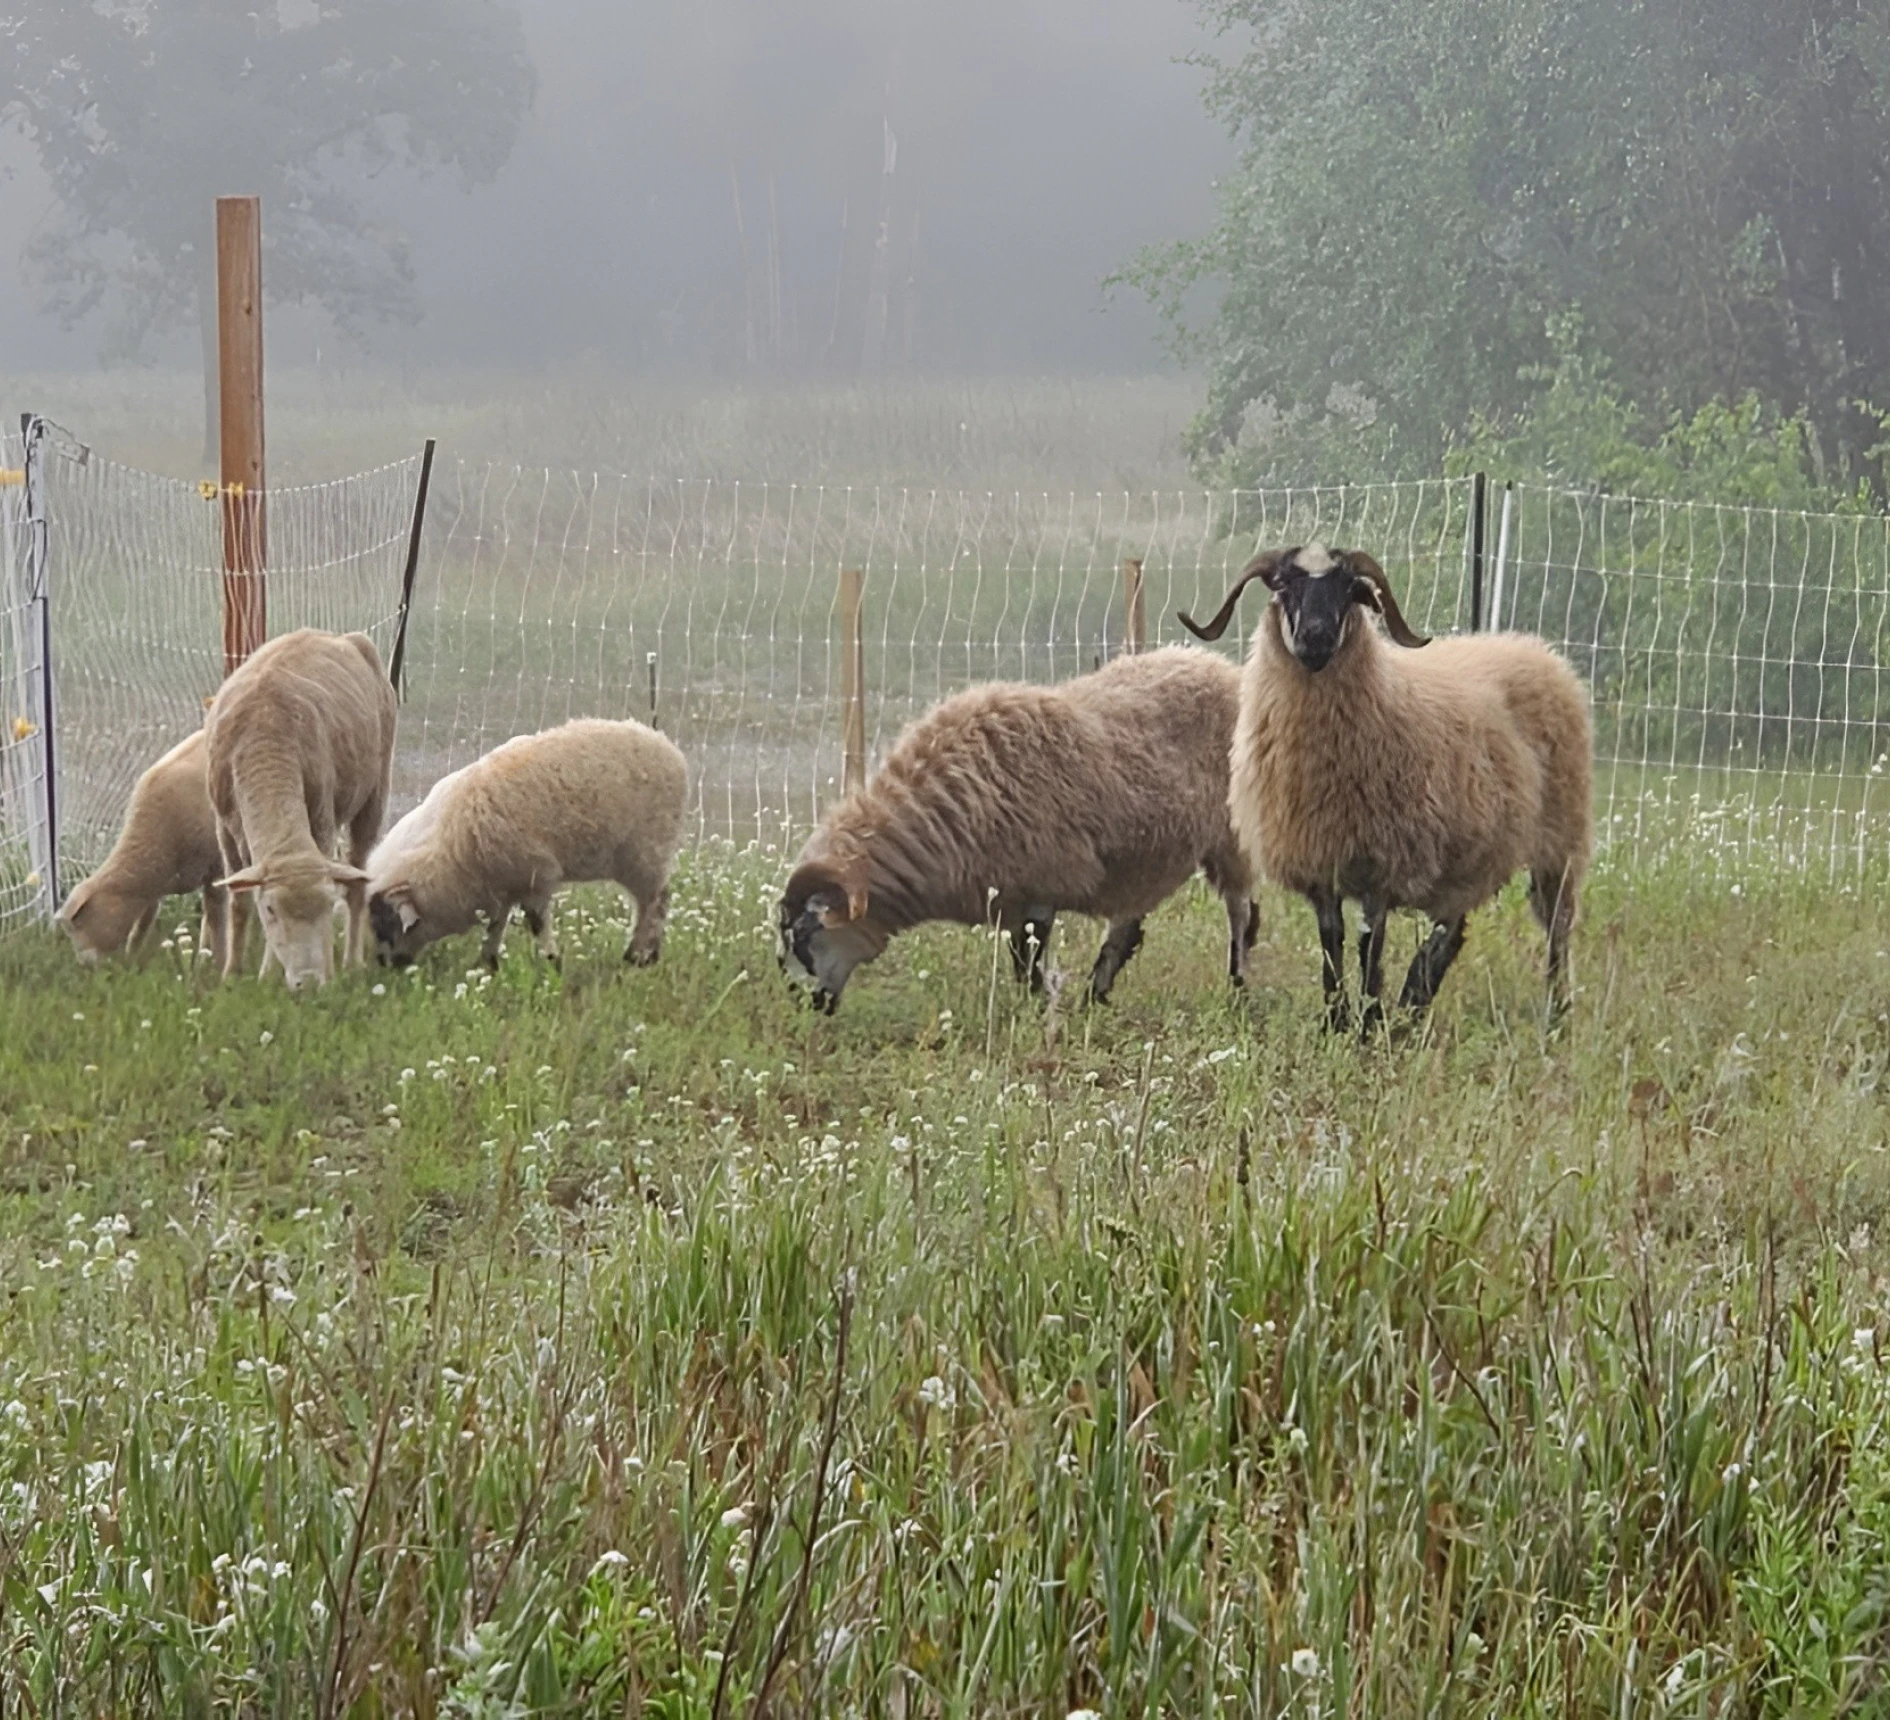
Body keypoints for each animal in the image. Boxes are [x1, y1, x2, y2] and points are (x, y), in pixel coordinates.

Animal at [57, 727, 227, 968]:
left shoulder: (216, 872)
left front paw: (214, 967)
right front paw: (131, 962)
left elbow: (215, 920)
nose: (85, 966)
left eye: (76, 924)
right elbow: (142, 925)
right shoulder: (155, 887)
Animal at [206, 628, 398, 990]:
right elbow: (239, 903)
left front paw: (272, 974)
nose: (308, 983)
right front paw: (231, 975)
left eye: (327, 904)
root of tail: (340, 637)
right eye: (270, 910)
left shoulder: (322, 817)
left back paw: (351, 963)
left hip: (376, 789)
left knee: (356, 880)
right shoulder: (224, 829)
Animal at [365, 717, 687, 971]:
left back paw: (640, 956)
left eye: (387, 926)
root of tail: (668, 747)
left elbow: (536, 923)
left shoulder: (535, 876)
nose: (384, 965)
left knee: (655, 902)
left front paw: (551, 961)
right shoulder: (506, 882)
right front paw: (488, 963)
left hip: (647, 851)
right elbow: (496, 924)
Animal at [777, 644, 1258, 1013]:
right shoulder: (1010, 897)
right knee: (1127, 926)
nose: (801, 1003)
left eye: (803, 935)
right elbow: (1022, 961)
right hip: (1146, 858)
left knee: (1241, 912)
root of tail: (1217, 664)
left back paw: (1237, 990)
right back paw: (1095, 995)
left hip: (1231, 835)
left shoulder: (1039, 889)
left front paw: (1034, 1011)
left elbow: (1027, 963)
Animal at [1179, 542, 1593, 1029]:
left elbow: (1369, 948)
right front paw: (1337, 1021)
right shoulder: (1322, 864)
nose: (1316, 637)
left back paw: (1556, 1015)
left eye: (1350, 589)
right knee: (1452, 932)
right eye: (1283, 585)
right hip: (1473, 853)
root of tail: (1536, 649)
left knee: (1556, 931)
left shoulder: (1383, 864)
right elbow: (1332, 942)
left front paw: (1368, 1023)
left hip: (1559, 842)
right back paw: (1415, 1002)